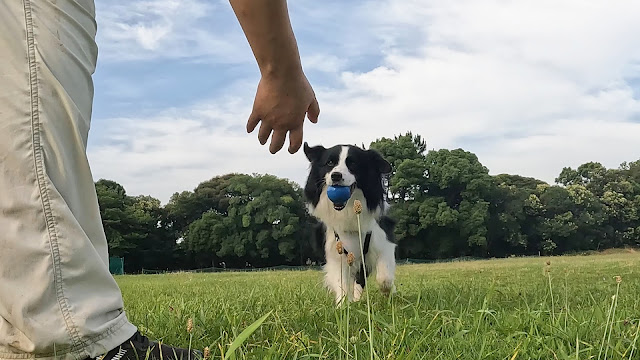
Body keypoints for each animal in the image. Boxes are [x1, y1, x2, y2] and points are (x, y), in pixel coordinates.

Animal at [302, 142, 398, 306]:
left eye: (353, 163)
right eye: (330, 163)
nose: (336, 176)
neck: (348, 210)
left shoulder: (383, 240)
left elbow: (384, 277)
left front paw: (388, 291)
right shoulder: (336, 250)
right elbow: (341, 282)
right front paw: (343, 306)